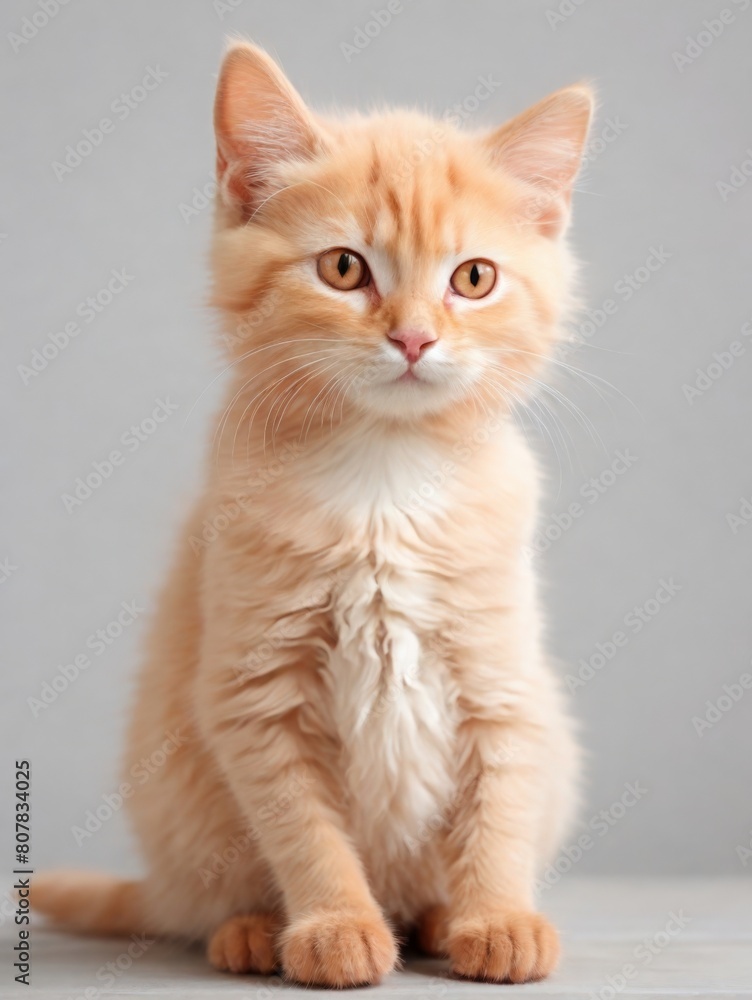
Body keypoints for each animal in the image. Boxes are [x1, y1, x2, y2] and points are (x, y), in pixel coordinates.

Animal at [33, 39, 592, 984]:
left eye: (473, 279)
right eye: (344, 268)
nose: (414, 338)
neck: (384, 475)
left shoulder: (502, 677)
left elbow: (501, 806)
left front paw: (496, 918)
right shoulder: (255, 687)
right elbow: (305, 830)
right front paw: (336, 925)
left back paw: (436, 916)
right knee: (213, 895)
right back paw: (253, 929)